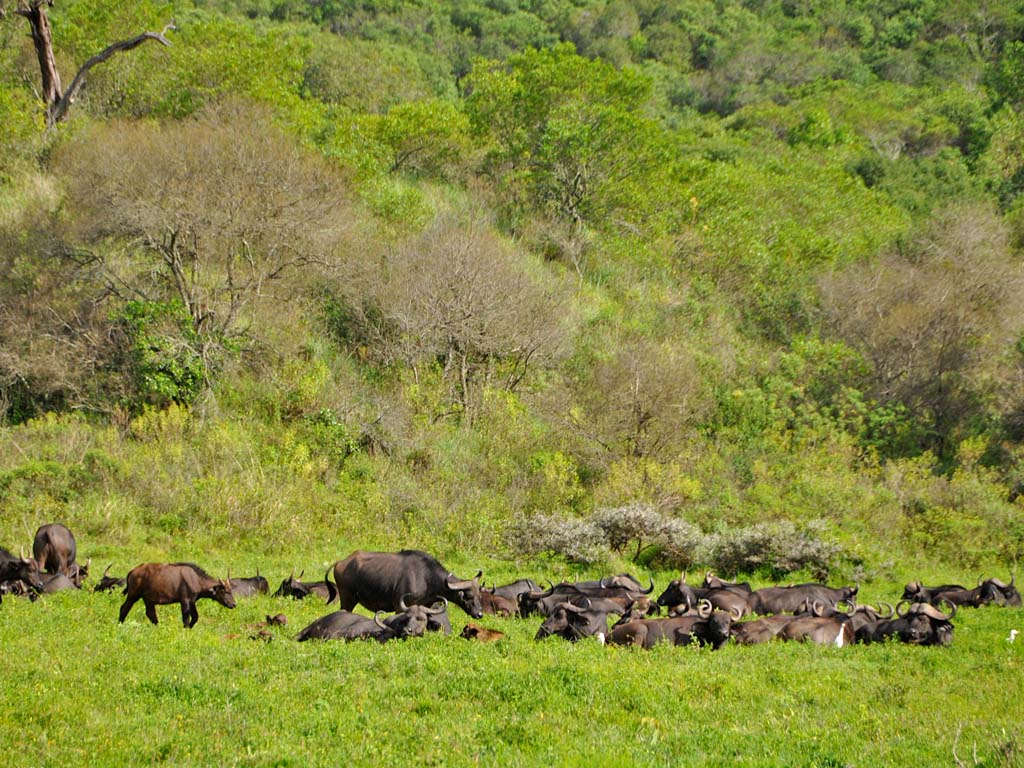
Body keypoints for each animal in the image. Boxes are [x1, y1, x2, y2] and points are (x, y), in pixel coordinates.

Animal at [329, 548, 485, 622]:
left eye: (479, 596)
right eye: (468, 596)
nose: (479, 614)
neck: (427, 578)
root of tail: (340, 562)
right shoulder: (400, 607)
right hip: (347, 599)